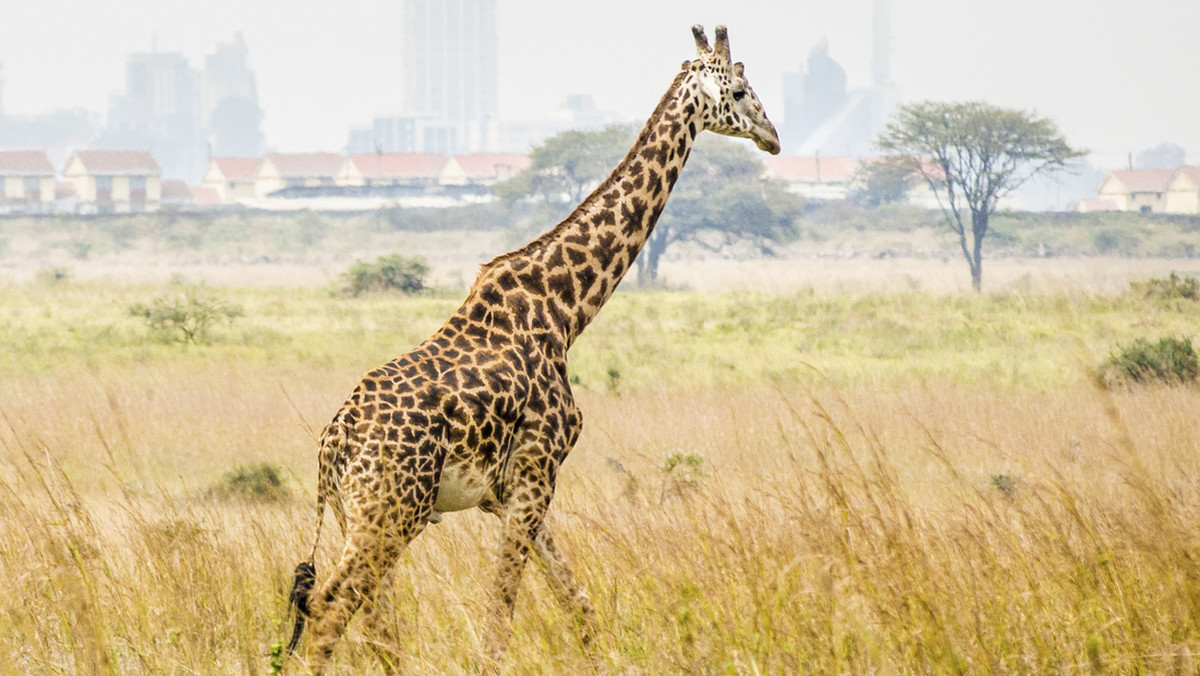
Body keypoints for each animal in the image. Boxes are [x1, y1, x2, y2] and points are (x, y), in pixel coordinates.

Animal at [285, 23, 782, 672]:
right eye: (742, 90)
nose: (774, 138)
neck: (565, 313)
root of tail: (333, 446)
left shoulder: (513, 492)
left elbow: (578, 603)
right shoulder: (536, 472)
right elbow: (500, 619)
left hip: (364, 515)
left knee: (372, 623)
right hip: (391, 514)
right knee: (327, 612)